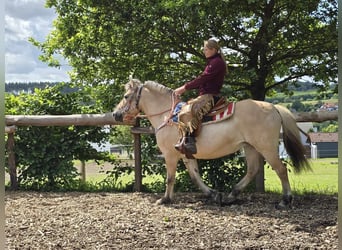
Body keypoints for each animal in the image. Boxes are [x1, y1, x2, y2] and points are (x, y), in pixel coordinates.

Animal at [113, 79, 312, 208]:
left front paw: (165, 199)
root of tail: (273, 108)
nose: (115, 114)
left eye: (126, 96)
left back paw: (285, 201)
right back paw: (231, 196)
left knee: (281, 169)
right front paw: (214, 194)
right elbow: (195, 177)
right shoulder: (186, 154)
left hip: (267, 147)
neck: (167, 116)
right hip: (250, 147)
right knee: (253, 170)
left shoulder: (170, 155)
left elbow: (170, 178)